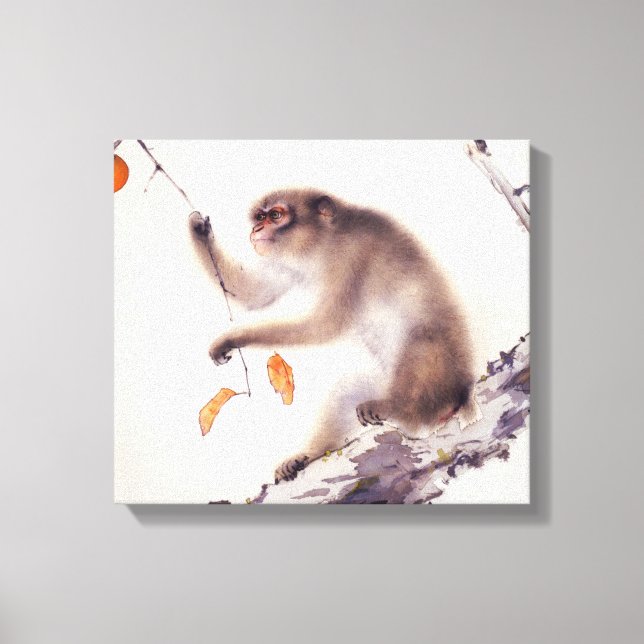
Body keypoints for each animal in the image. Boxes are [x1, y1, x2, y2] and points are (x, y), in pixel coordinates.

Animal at [189, 188, 477, 483]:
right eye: (260, 216)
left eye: (276, 215)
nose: (257, 229)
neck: (324, 244)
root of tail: (464, 391)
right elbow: (253, 293)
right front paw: (199, 230)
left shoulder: (350, 257)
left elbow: (324, 326)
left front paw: (234, 337)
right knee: (348, 392)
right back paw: (308, 456)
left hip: (441, 379)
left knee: (421, 343)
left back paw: (402, 411)